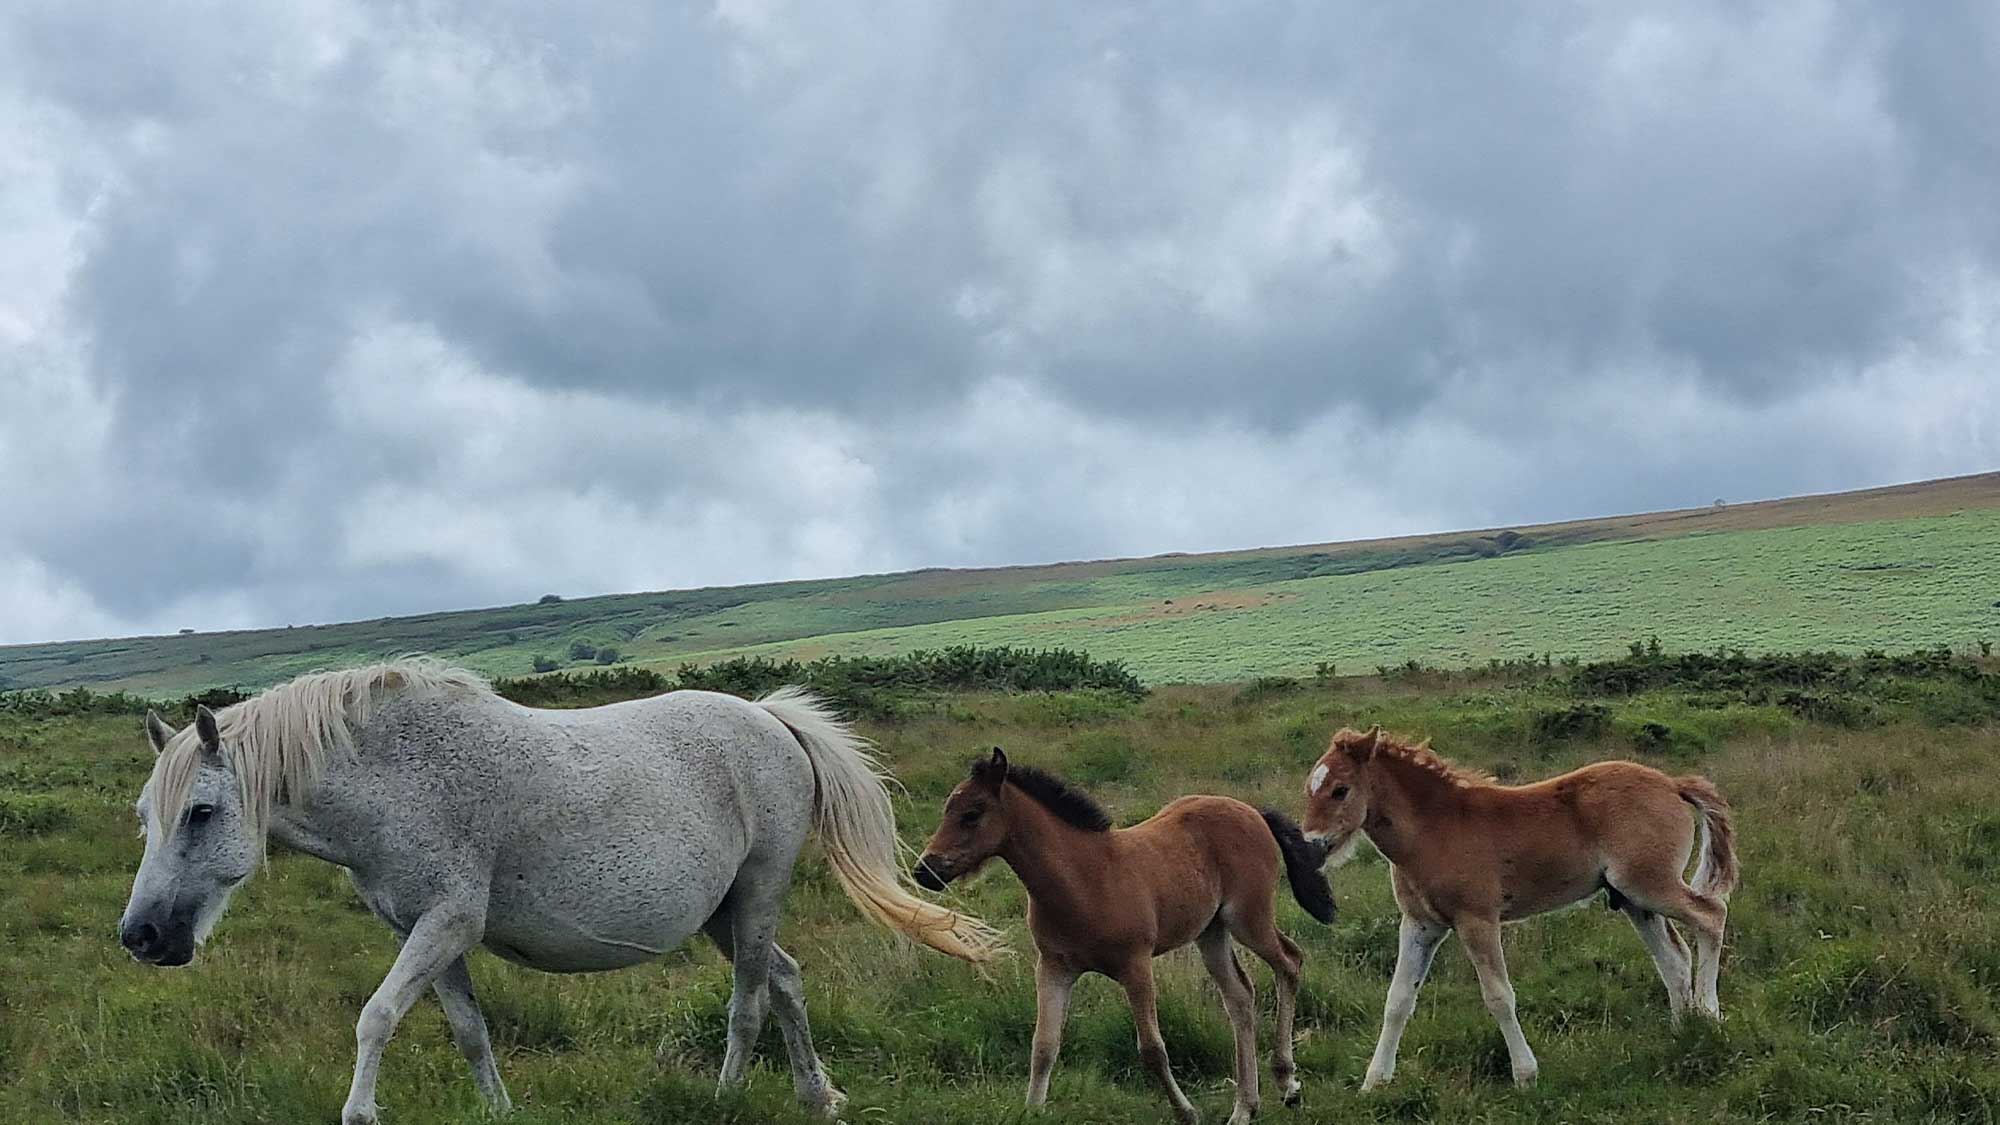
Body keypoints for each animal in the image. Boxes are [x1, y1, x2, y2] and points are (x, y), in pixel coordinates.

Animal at [117, 659, 1000, 1124]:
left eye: (201, 811)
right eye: (145, 816)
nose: (141, 936)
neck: (397, 777)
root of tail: (769, 718)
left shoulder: (447, 921)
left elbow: (376, 1016)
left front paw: (359, 1112)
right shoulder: (425, 933)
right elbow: (469, 1031)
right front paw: (499, 1111)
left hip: (755, 895)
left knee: (749, 999)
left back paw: (727, 1093)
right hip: (722, 912)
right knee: (784, 977)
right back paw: (817, 1092)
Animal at [913, 748, 1335, 1125]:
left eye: (972, 814)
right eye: (946, 809)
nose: (924, 871)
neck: (1084, 879)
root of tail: (1252, 811)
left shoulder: (1136, 965)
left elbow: (1152, 1049)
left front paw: (1187, 1112)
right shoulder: (1053, 968)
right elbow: (1043, 1045)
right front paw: (1032, 1110)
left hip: (1248, 918)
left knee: (1289, 961)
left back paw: (1287, 1084)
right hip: (1211, 931)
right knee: (1240, 997)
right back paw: (1244, 1108)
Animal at [1298, 726, 1738, 1090]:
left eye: (1340, 790)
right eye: (1309, 788)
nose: (1311, 846)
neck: (1433, 829)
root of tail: (1672, 784)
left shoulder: (1477, 920)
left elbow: (1498, 996)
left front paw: (1526, 1075)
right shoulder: (1420, 924)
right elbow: (1398, 1000)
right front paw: (1374, 1082)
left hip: (1649, 884)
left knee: (1710, 915)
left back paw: (1709, 1013)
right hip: (1632, 899)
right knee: (1673, 957)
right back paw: (1682, 1029)